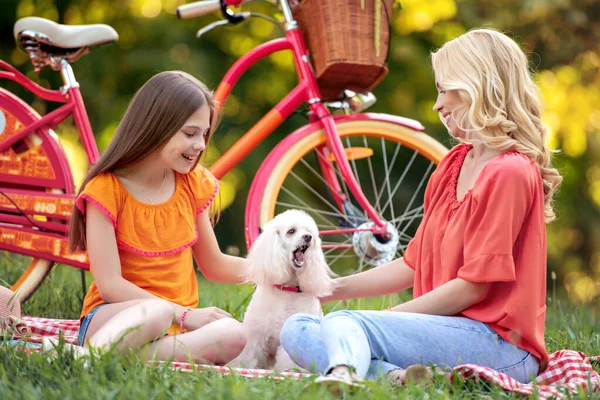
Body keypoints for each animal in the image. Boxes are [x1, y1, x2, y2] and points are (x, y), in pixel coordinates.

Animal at [230, 211, 336, 370]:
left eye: (309, 232)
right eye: (291, 231)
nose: (308, 237)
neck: (288, 290)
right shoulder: (255, 336)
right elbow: (247, 357)